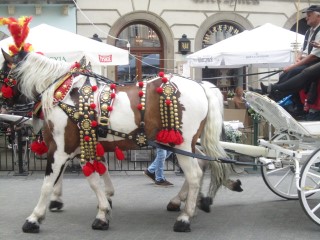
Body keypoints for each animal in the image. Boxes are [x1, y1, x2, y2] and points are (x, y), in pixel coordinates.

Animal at [1, 50, 238, 232]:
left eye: (2, 73)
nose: (4, 108)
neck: (64, 93)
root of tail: (201, 86)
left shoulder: (61, 148)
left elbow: (49, 182)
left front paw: (34, 218)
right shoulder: (81, 144)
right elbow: (93, 177)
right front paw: (101, 205)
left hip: (181, 144)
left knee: (195, 174)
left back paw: (185, 217)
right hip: (187, 144)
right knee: (202, 165)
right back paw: (185, 203)